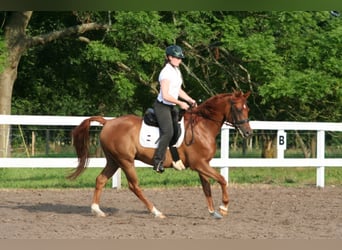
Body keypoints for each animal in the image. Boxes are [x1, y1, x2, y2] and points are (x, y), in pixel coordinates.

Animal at [68, 91, 252, 219]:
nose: (248, 133)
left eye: (247, 109)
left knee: (100, 179)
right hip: (126, 161)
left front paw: (214, 212)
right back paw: (156, 212)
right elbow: (222, 180)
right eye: (237, 109)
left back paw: (97, 210)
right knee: (134, 186)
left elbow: (206, 187)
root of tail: (108, 122)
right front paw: (224, 207)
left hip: (114, 161)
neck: (202, 126)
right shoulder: (199, 164)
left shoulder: (203, 165)